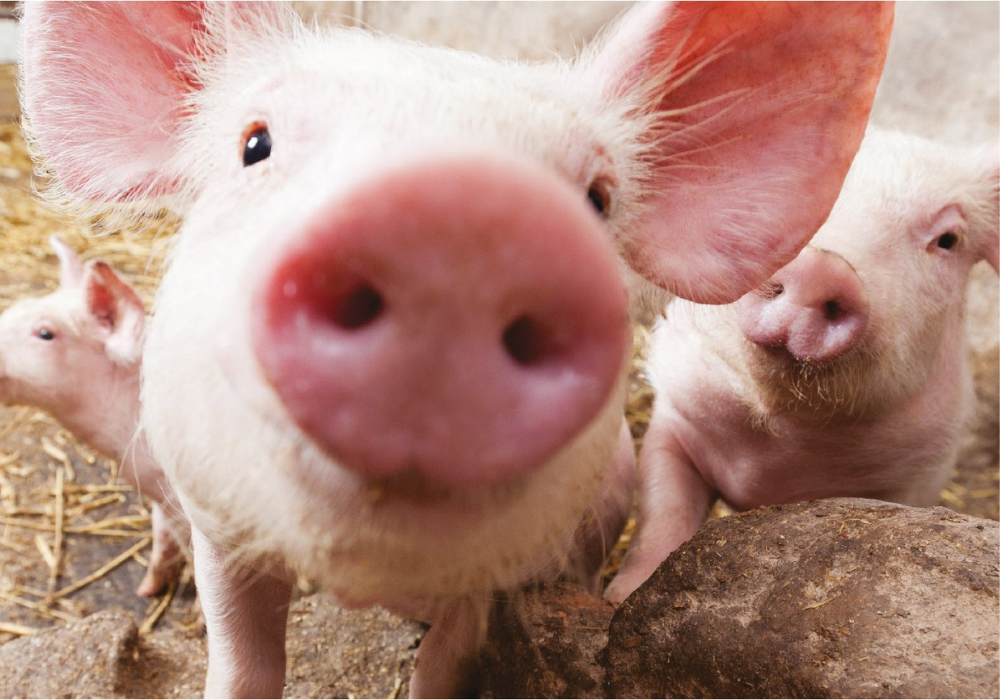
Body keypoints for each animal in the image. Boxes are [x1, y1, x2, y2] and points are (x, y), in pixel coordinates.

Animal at [19, 2, 892, 696]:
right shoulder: (217, 525)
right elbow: (241, 663)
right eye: (255, 144)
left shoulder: (494, 587)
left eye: (597, 198)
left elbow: (442, 668)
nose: (459, 215)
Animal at [606, 127, 1000, 603]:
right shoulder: (676, 417)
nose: (821, 269)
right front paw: (619, 597)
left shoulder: (918, 475)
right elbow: (664, 512)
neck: (777, 451)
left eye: (948, 240)